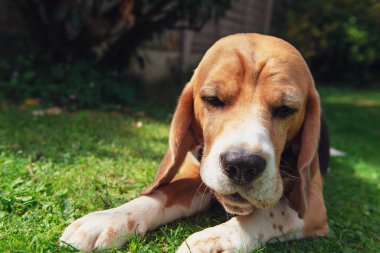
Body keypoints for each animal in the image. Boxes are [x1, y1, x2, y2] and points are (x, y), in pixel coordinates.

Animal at [60, 33, 330, 251]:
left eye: (286, 109)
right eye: (213, 99)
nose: (242, 165)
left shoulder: (313, 205)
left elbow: (268, 214)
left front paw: (215, 239)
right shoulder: (194, 176)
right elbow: (161, 193)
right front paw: (107, 219)